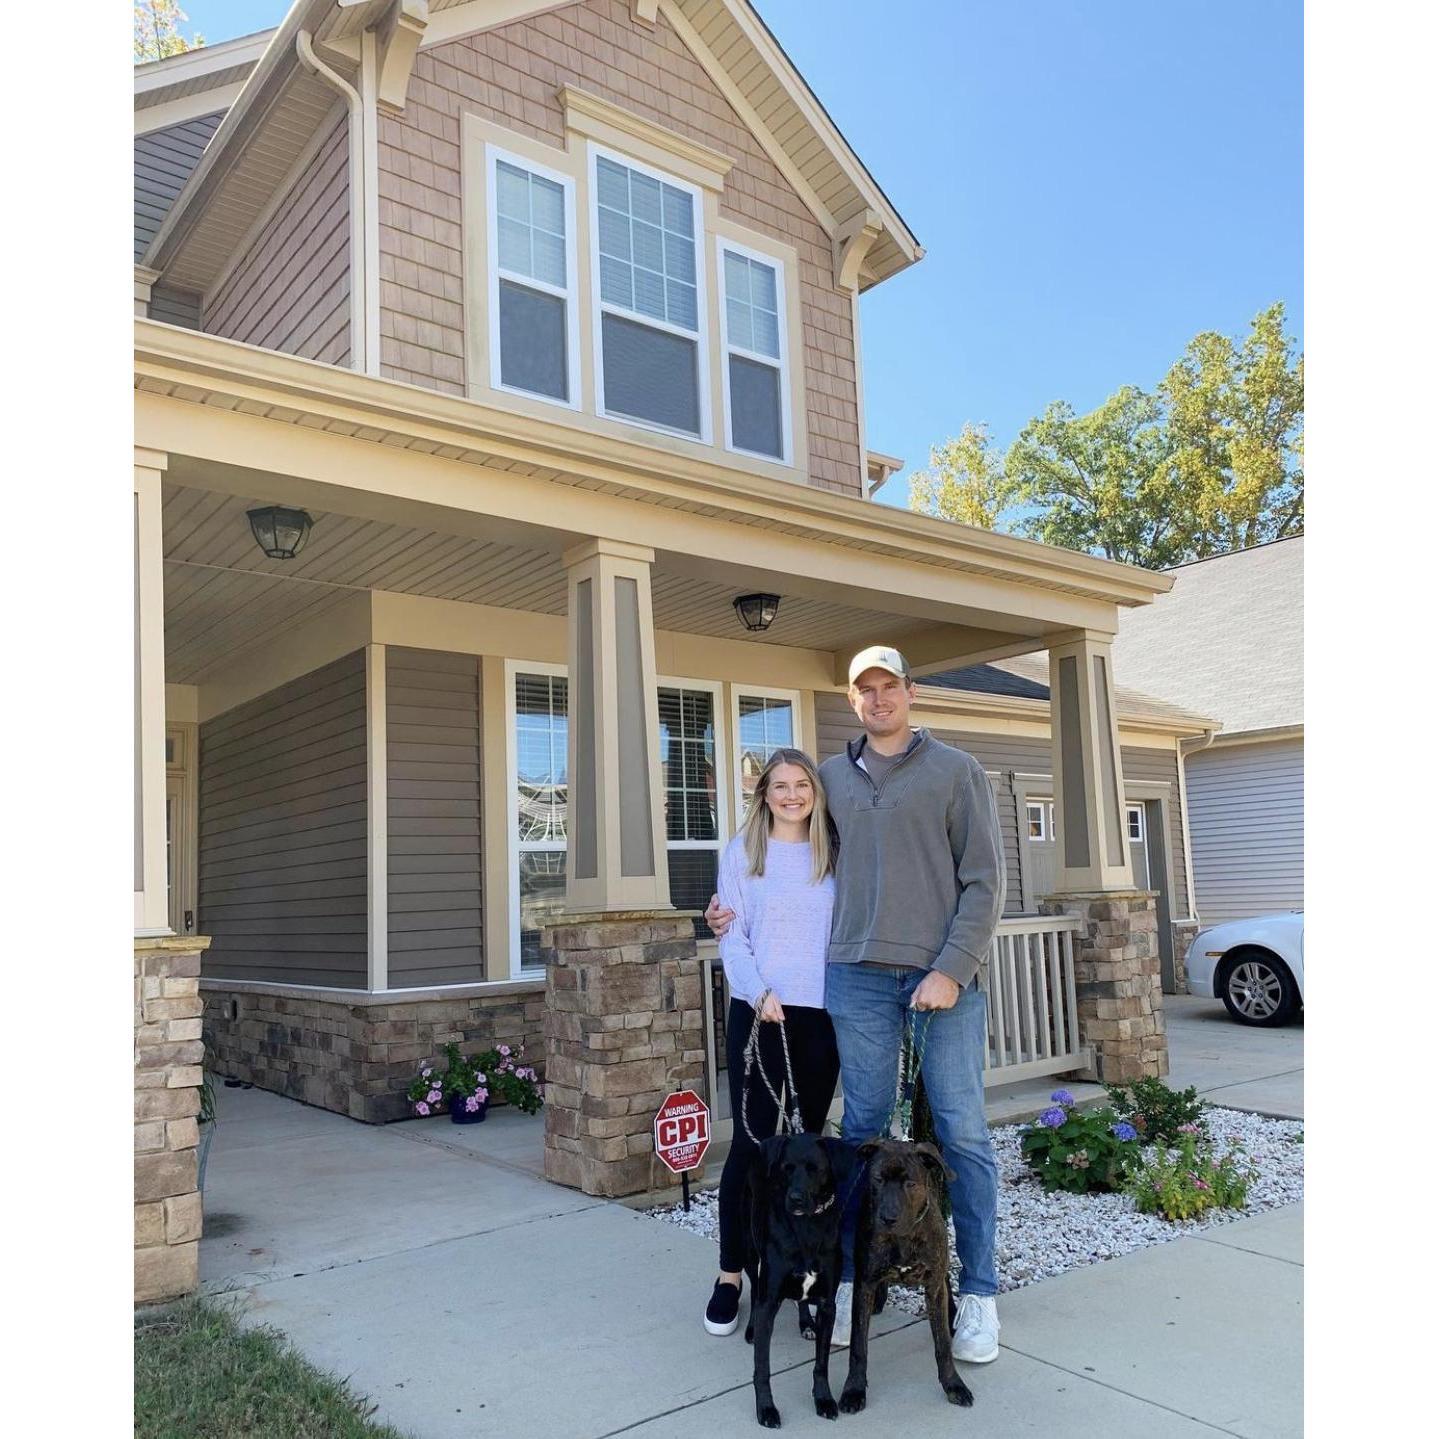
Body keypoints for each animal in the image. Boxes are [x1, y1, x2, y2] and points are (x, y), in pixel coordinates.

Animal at [742, 1133, 851, 1427]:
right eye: (786, 1168)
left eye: (816, 1169)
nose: (796, 1199)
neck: (807, 1228)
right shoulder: (769, 1300)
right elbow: (762, 1367)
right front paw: (766, 1408)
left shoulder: (827, 1303)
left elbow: (821, 1364)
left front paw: (823, 1399)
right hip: (750, 1248)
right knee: (754, 1289)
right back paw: (751, 1329)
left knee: (802, 1299)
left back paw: (806, 1323)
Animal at [840, 1139, 972, 1410]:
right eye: (878, 1179)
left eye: (910, 1184)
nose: (888, 1218)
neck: (902, 1238)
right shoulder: (864, 1283)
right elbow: (858, 1345)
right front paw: (854, 1389)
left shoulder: (933, 1284)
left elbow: (942, 1344)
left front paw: (953, 1384)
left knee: (946, 1280)